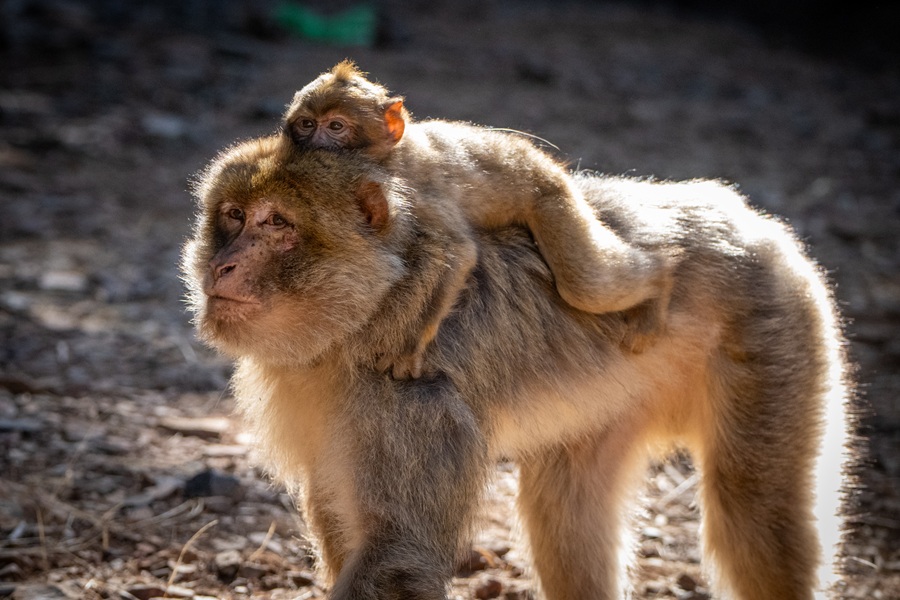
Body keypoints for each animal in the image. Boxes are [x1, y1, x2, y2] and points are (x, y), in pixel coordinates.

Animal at [182, 135, 854, 600]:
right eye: (233, 216)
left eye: (278, 223)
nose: (222, 267)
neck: (359, 322)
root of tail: (746, 215)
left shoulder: (405, 400)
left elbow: (398, 558)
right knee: (566, 511)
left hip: (774, 327)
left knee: (753, 509)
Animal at [282, 61, 674, 378]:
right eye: (306, 124)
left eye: (335, 126)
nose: (315, 141)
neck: (388, 154)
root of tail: (536, 157)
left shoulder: (411, 189)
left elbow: (459, 252)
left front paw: (410, 348)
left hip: (552, 197)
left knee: (585, 285)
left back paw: (660, 277)